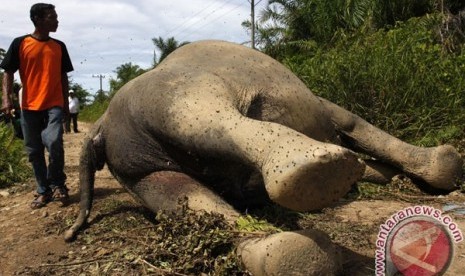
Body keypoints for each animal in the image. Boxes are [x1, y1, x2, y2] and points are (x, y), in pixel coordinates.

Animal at [63, 40, 462, 274]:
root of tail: (101, 124)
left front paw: (381, 175)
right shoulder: (323, 107)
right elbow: (351, 121)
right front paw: (444, 166)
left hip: (131, 153)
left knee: (172, 191)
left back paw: (289, 256)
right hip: (168, 92)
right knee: (206, 118)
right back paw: (315, 176)